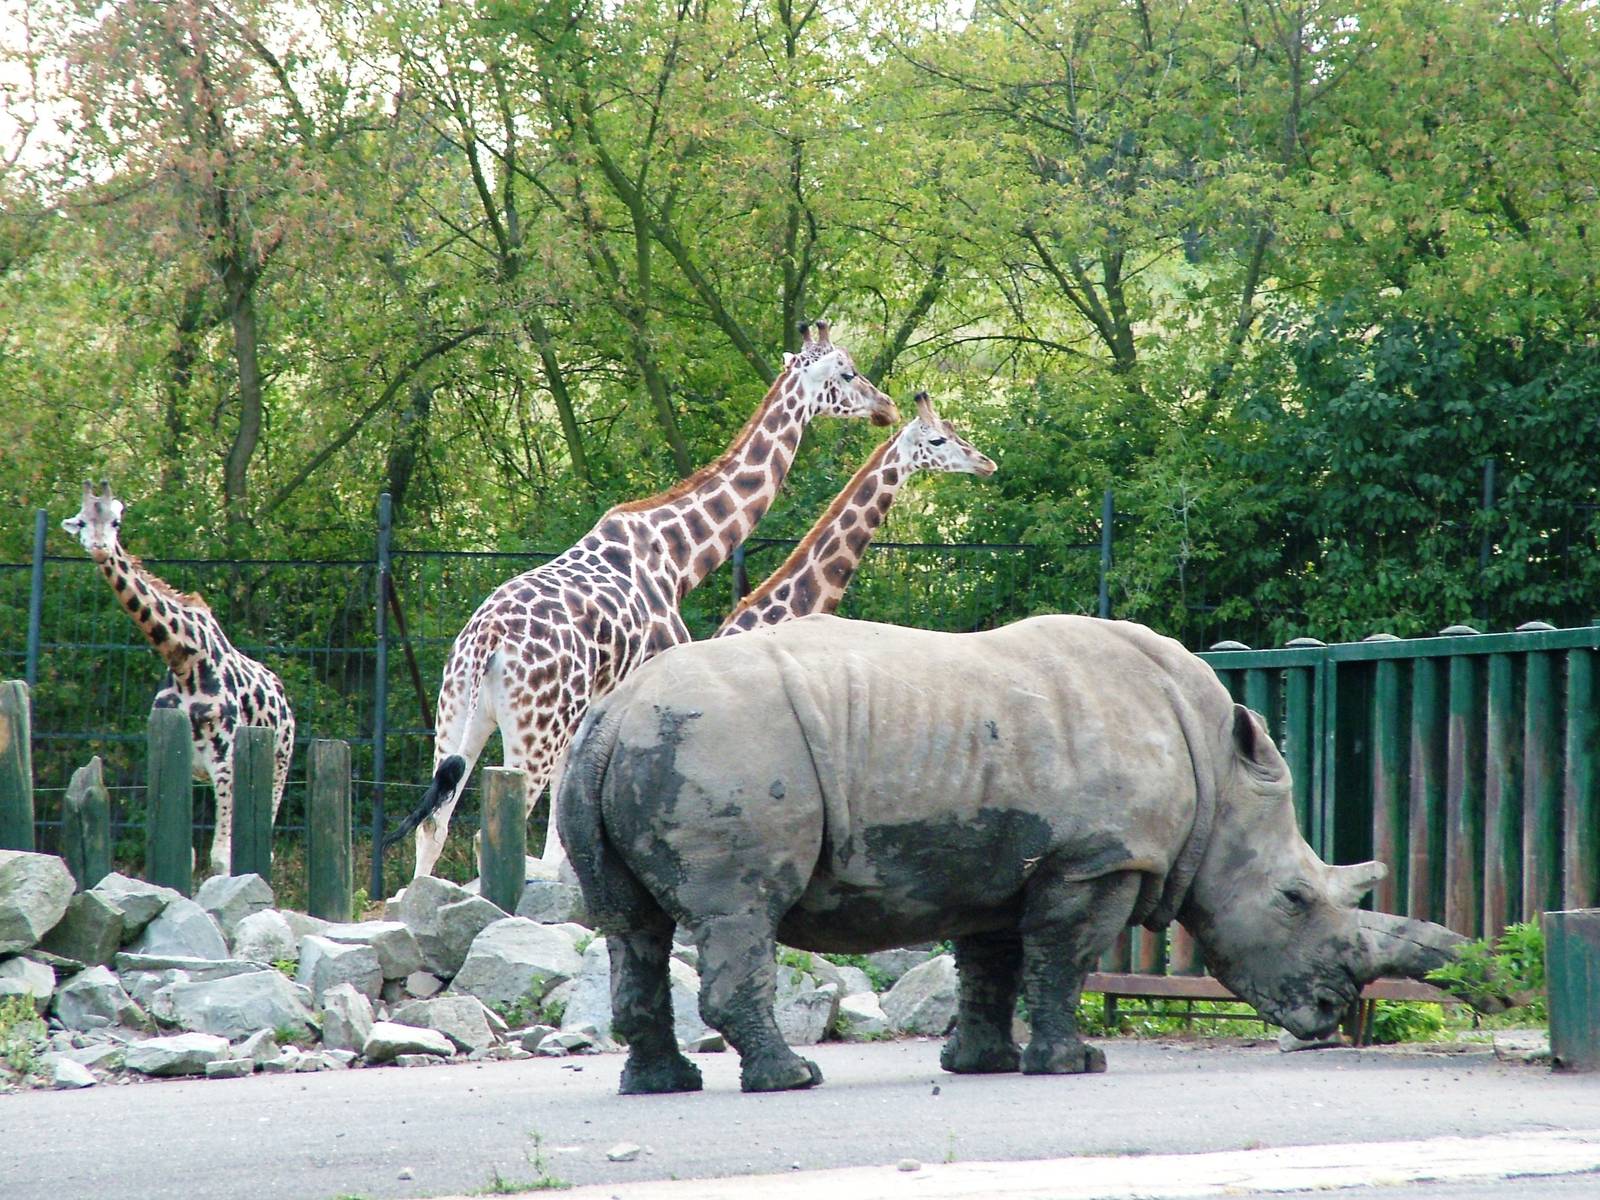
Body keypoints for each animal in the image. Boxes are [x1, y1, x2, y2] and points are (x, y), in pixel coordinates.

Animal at [62, 481, 296, 876]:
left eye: (116, 521)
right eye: (81, 522)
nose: (99, 547)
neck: (186, 660)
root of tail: (285, 701)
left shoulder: (225, 759)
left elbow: (221, 857)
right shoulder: (180, 758)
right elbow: (184, 853)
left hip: (278, 763)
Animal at [386, 320, 899, 877]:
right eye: (847, 372)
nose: (887, 406)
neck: (679, 557)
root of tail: (486, 639)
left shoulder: (593, 710)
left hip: (459, 714)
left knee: (435, 824)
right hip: (534, 729)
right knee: (491, 834)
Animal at [558, 613, 1479, 1094]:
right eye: (1295, 899)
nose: (1329, 1013)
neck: (1219, 779)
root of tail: (612, 713)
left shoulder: (994, 860)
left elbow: (992, 966)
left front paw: (981, 1065)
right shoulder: (1099, 860)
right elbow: (1063, 962)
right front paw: (1075, 1064)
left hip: (629, 751)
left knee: (630, 928)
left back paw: (662, 1084)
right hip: (723, 749)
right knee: (740, 910)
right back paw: (792, 1079)